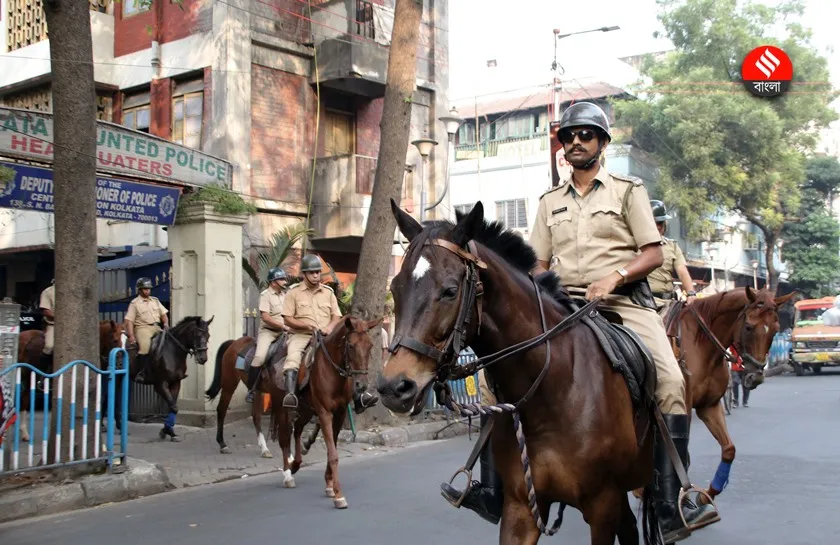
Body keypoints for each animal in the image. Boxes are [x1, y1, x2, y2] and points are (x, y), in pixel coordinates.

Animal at [207, 314, 380, 506]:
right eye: (351, 346)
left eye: (370, 346)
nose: (361, 385)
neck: (332, 371)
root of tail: (234, 342)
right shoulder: (324, 412)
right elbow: (333, 454)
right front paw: (338, 495)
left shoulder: (340, 413)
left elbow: (331, 448)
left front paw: (329, 484)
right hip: (237, 386)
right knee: (236, 416)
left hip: (301, 407)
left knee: (291, 429)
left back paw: (292, 461)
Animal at [378, 201, 668, 544]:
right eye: (395, 288)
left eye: (450, 290)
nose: (395, 386)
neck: (552, 392)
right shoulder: (521, 507)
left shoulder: (603, 506)